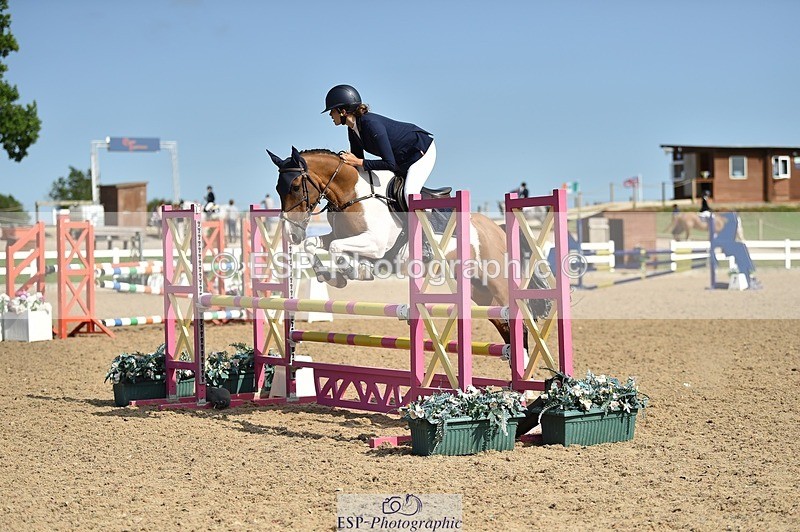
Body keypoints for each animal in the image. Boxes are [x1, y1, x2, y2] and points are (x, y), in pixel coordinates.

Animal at [266, 146, 550, 352]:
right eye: (278, 189)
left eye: (294, 186)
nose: (292, 233)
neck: (353, 194)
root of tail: (498, 228)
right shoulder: (341, 235)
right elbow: (315, 244)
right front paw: (332, 274)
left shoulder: (376, 243)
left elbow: (337, 248)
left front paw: (350, 271)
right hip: (479, 292)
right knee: (506, 327)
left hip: (497, 284)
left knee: (521, 323)